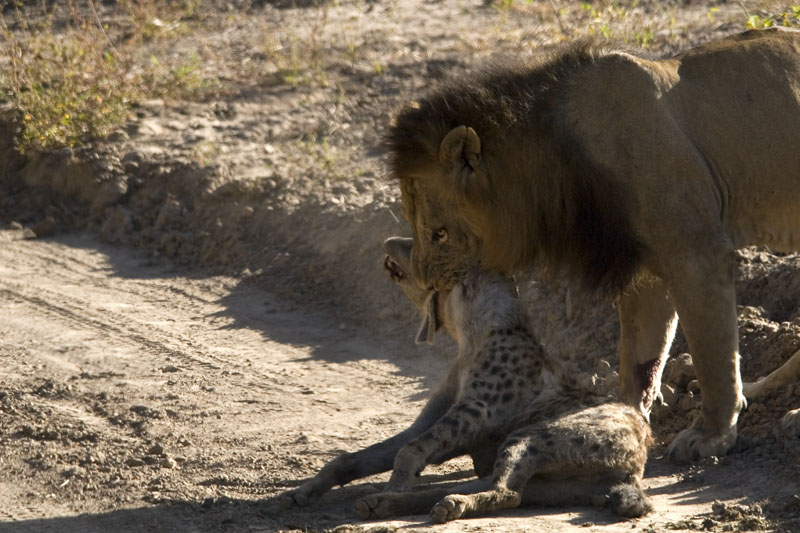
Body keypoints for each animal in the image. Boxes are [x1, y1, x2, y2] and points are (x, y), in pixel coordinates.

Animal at [388, 28, 800, 462]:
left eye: (439, 233)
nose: (427, 282)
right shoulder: (647, 270)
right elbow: (639, 359)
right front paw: (619, 421)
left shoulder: (696, 253)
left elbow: (712, 355)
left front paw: (709, 436)